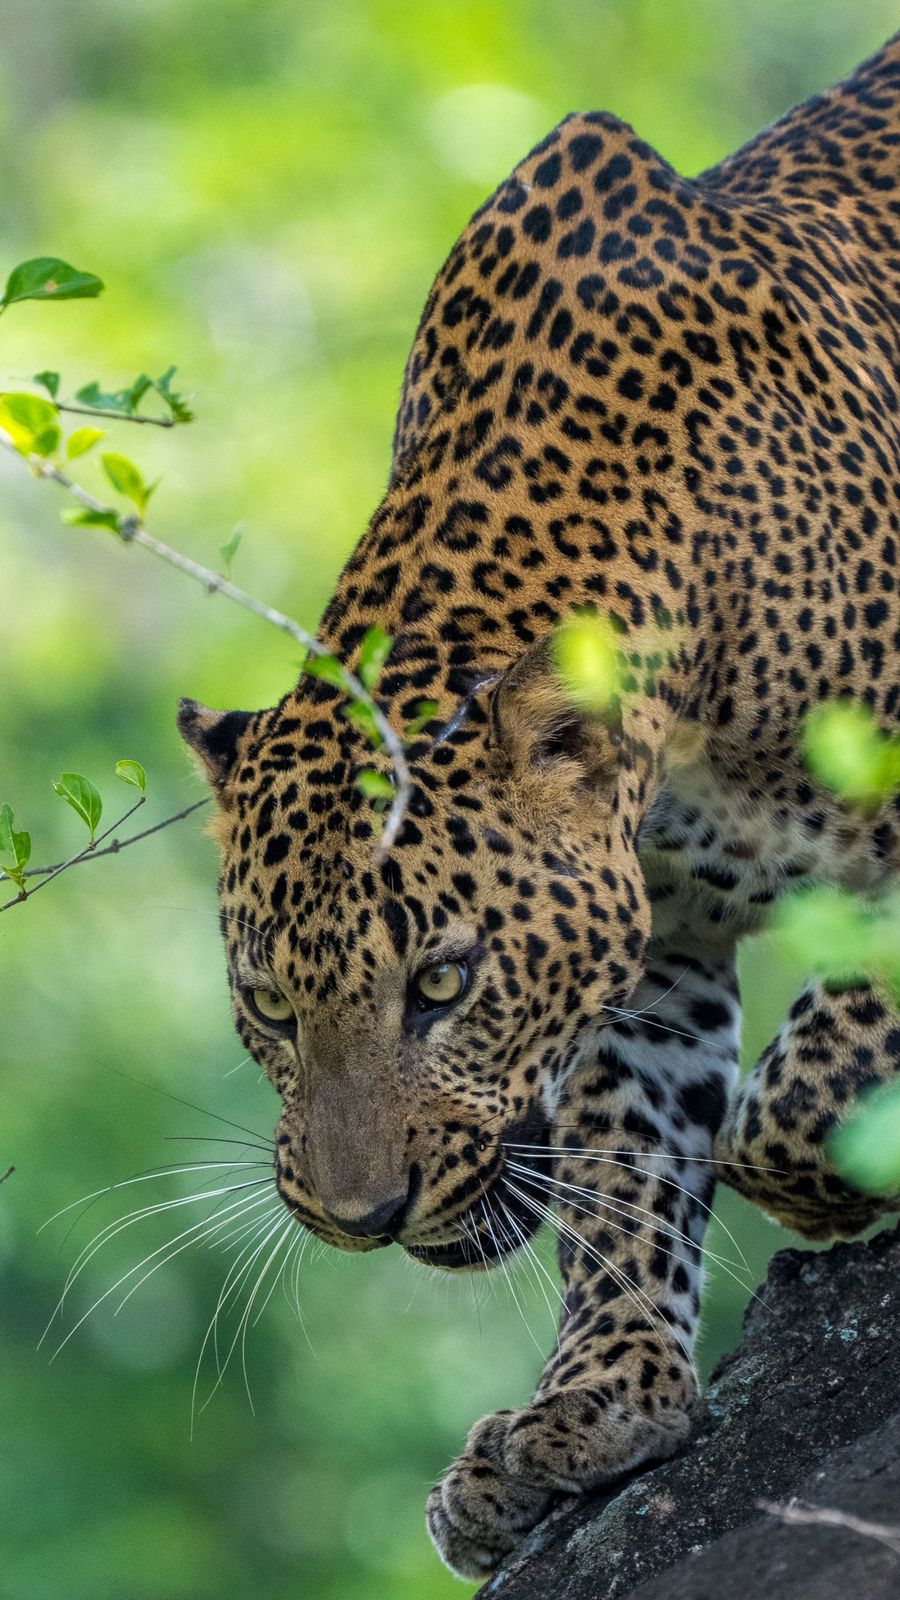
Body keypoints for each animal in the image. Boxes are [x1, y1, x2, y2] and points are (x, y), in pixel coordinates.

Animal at [178, 33, 900, 1583]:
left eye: (445, 983)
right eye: (268, 1005)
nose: (359, 1217)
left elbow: (788, 1104)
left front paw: (845, 1188)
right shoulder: (659, 941)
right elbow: (636, 1159)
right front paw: (600, 1407)